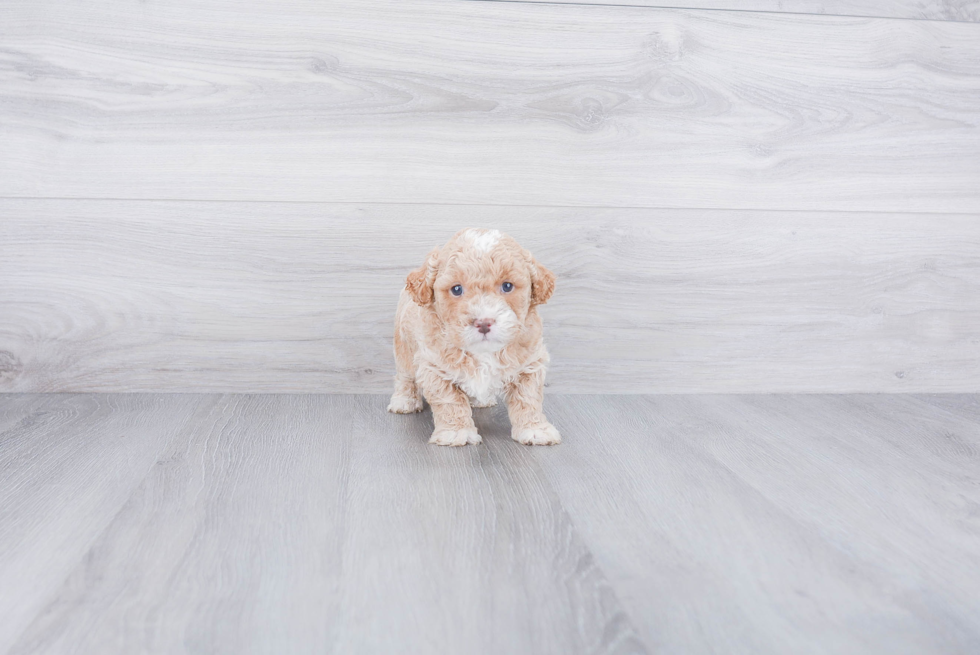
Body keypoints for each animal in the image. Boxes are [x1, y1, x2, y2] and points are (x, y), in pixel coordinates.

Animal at [388, 228, 564, 448]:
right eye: (457, 289)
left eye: (507, 286)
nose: (484, 322)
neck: (483, 352)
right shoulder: (434, 366)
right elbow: (449, 400)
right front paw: (456, 432)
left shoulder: (529, 364)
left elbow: (528, 398)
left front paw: (534, 429)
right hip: (403, 347)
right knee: (405, 376)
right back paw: (405, 401)